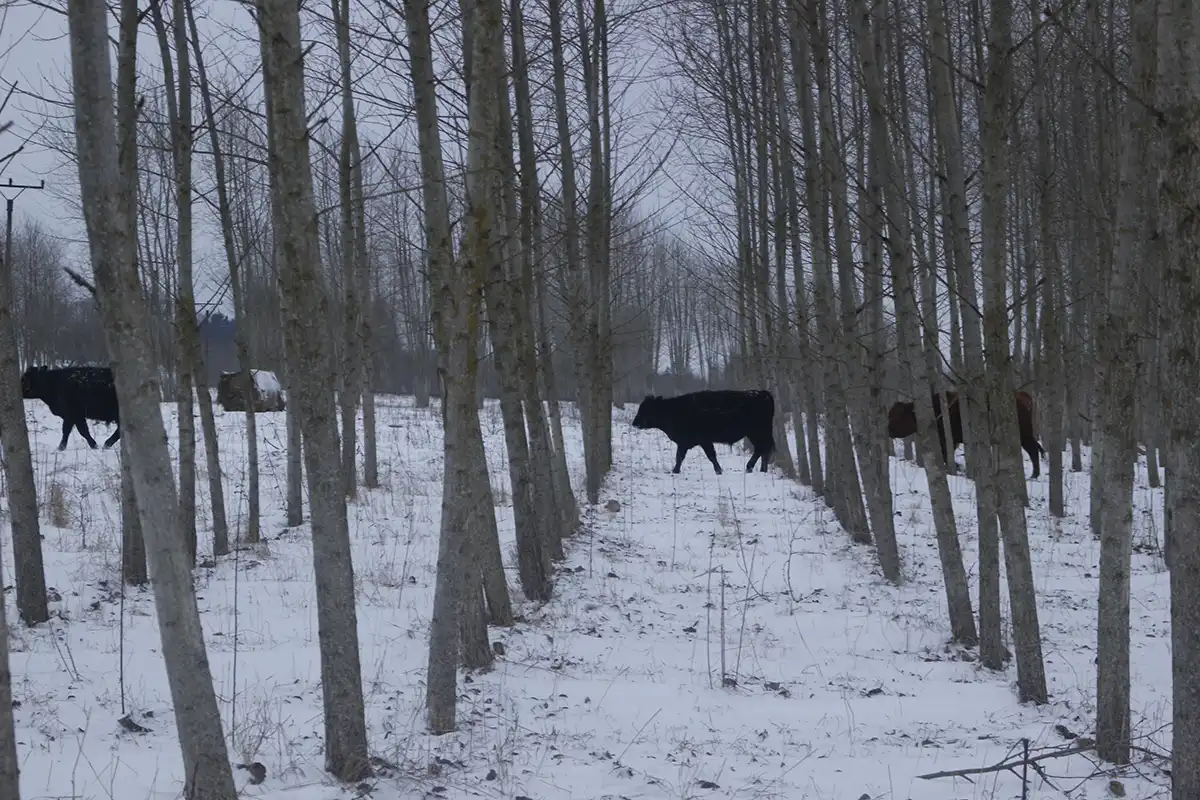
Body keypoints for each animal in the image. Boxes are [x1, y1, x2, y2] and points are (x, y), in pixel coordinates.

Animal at [628, 388, 777, 474]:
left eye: (647, 409)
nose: (634, 423)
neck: (674, 410)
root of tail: (763, 393)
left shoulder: (704, 440)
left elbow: (710, 455)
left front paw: (718, 470)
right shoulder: (684, 442)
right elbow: (679, 456)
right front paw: (675, 470)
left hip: (757, 432)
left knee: (761, 448)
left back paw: (750, 467)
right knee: (763, 449)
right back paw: (761, 470)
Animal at [888, 391, 1046, 479]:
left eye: (896, 416)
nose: (888, 430)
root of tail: (1024, 396)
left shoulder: (947, 439)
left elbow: (946, 454)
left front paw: (955, 467)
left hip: (1024, 435)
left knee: (1033, 450)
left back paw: (1034, 475)